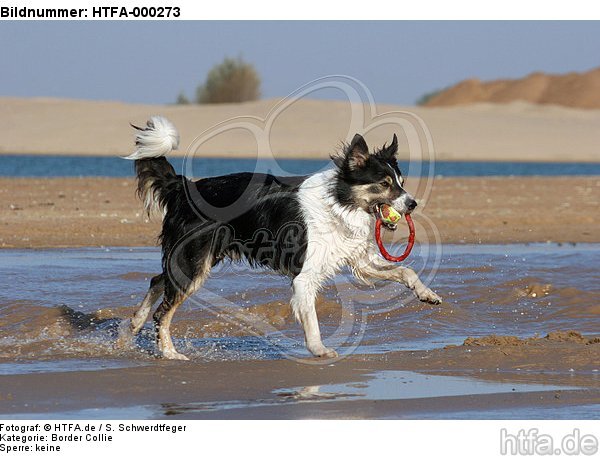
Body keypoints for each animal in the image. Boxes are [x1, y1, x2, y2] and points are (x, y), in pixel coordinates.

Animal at [120, 116, 440, 360]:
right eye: (384, 184)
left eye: (401, 183)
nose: (413, 204)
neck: (338, 202)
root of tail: (181, 187)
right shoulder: (305, 276)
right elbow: (311, 319)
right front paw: (319, 349)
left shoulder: (358, 259)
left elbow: (405, 270)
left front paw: (427, 294)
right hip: (194, 261)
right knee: (163, 311)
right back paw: (169, 353)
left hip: (194, 259)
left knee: (157, 280)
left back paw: (132, 327)